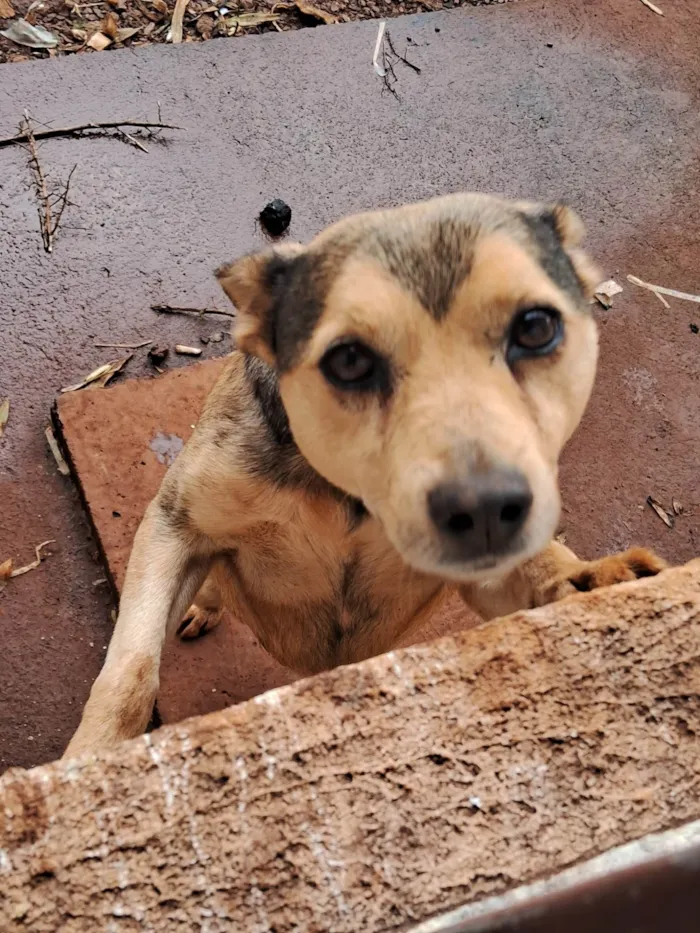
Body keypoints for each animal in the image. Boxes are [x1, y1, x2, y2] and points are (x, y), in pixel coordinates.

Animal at [61, 191, 668, 756]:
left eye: (536, 327)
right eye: (349, 360)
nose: (484, 510)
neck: (347, 499)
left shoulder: (486, 580)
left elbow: (541, 571)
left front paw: (593, 580)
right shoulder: (177, 525)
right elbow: (131, 672)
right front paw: (91, 760)